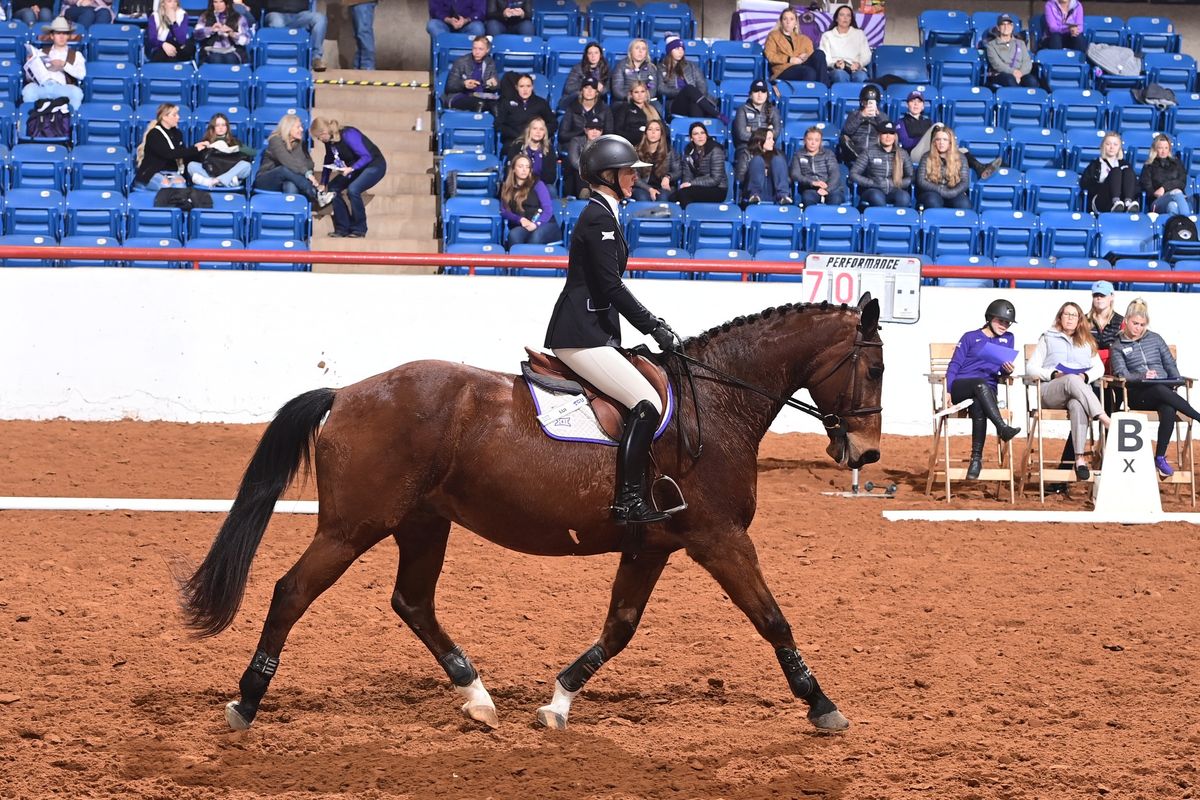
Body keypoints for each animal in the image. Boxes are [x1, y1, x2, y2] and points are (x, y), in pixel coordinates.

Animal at [182, 292, 888, 734]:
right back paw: (246, 702)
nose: (866, 452)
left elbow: (620, 628)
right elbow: (773, 619)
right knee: (292, 591)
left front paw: (558, 703)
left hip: (422, 523)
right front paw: (822, 705)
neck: (712, 406)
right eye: (876, 367)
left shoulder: (653, 544)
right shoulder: (720, 538)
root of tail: (348, 392)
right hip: (353, 526)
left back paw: (476, 696)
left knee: (412, 602)